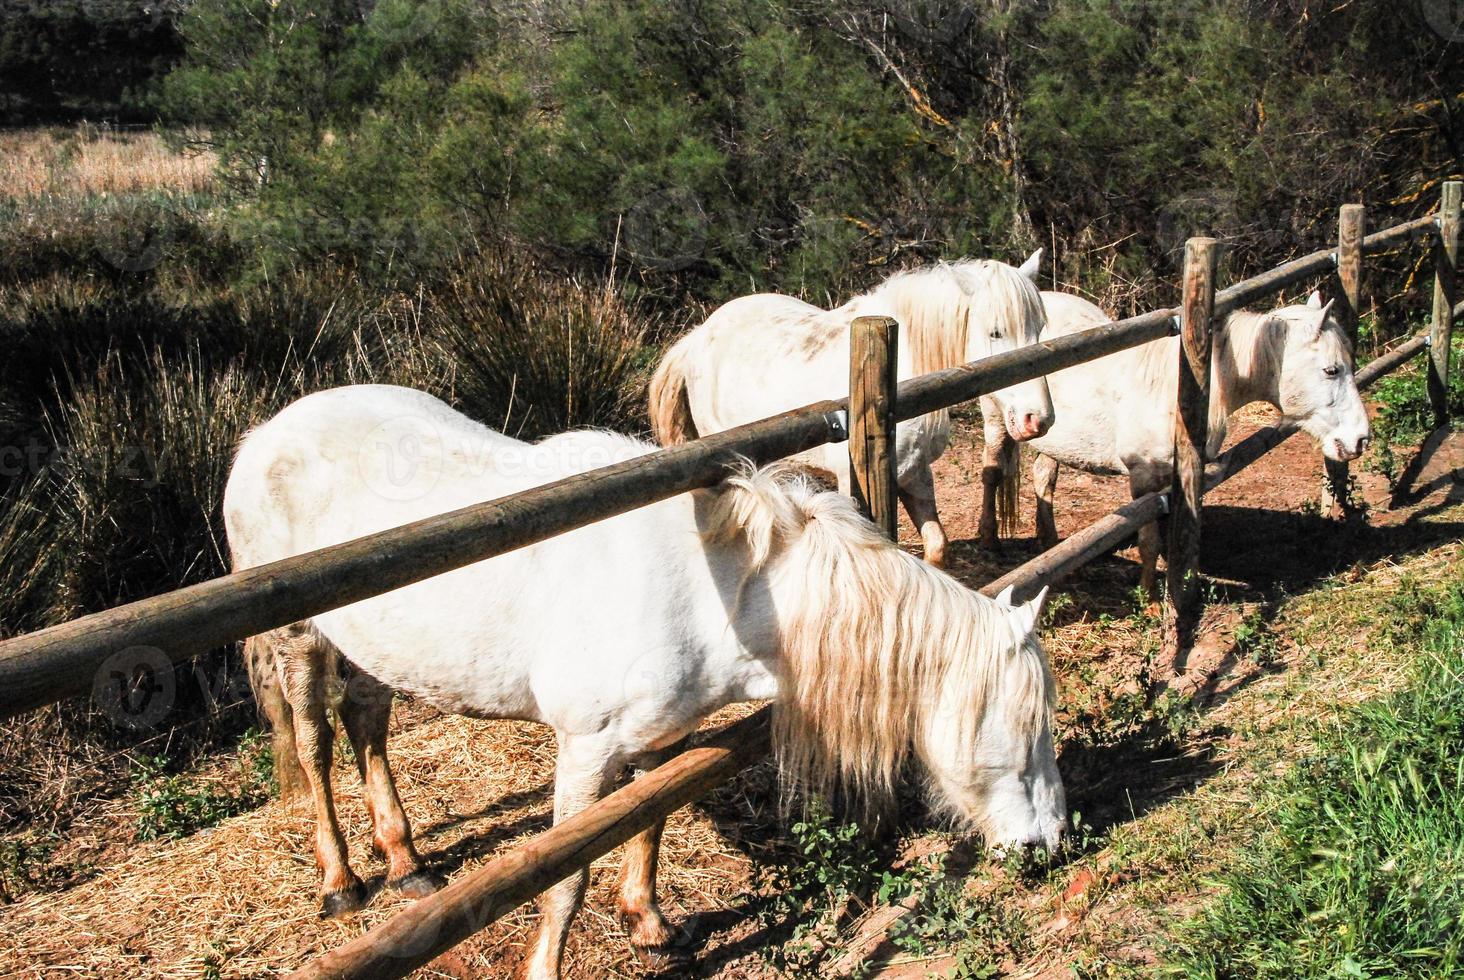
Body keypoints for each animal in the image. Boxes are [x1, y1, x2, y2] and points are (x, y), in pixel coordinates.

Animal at [231, 380, 1077, 978]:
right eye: (1027, 730)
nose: (1050, 846)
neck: (717, 589)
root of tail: (263, 436)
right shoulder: (583, 749)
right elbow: (565, 876)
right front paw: (550, 966)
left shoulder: (661, 735)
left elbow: (647, 824)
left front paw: (649, 923)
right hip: (298, 638)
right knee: (314, 744)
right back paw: (341, 880)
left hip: (373, 647)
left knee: (367, 724)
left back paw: (407, 863)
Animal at [652, 256, 1054, 565]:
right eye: (996, 332)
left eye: (1039, 327)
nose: (1038, 419)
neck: (903, 378)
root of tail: (697, 337)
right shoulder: (855, 484)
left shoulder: (915, 473)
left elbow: (937, 546)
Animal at [972, 288, 1370, 597]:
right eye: (1331, 370)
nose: (1360, 439)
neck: (1184, 391)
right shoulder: (1144, 479)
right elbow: (1148, 541)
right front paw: (1148, 598)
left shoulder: (1175, 477)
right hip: (996, 420)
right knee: (992, 472)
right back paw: (990, 540)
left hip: (1053, 439)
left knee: (1044, 477)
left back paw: (1051, 546)